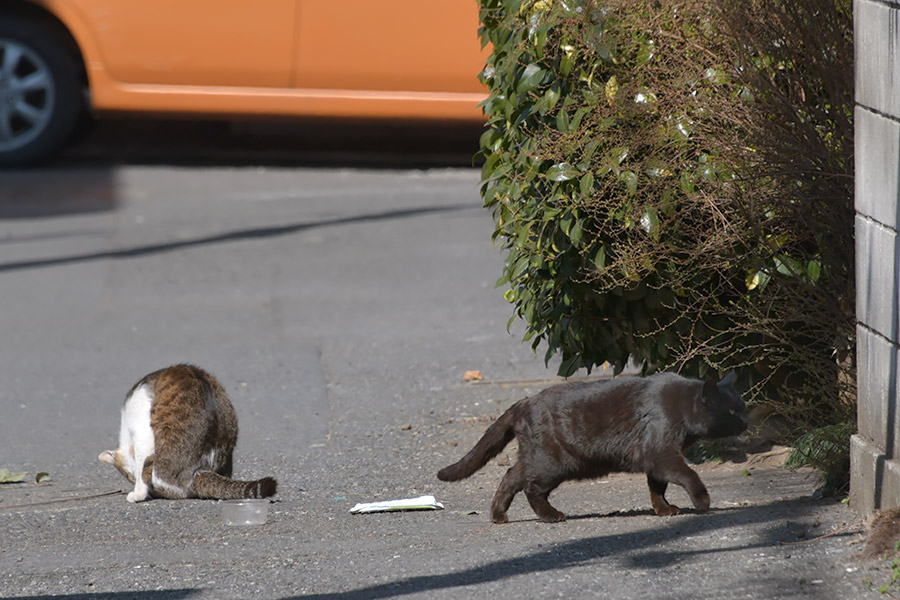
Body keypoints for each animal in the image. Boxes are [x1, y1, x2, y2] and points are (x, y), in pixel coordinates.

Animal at [97, 366, 274, 502]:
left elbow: (143, 470)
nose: (132, 480)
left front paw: (138, 493)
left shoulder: (142, 433)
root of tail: (199, 470)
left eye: (129, 477)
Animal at [438, 372, 744, 524]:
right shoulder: (662, 453)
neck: (681, 408)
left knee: (510, 476)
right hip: (552, 463)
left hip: (539, 459)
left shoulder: (654, 458)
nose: (745, 422)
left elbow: (657, 488)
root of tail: (524, 401)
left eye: (741, 407)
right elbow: (687, 475)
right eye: (731, 411)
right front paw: (702, 501)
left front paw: (664, 509)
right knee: (529, 487)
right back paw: (551, 516)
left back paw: (499, 515)